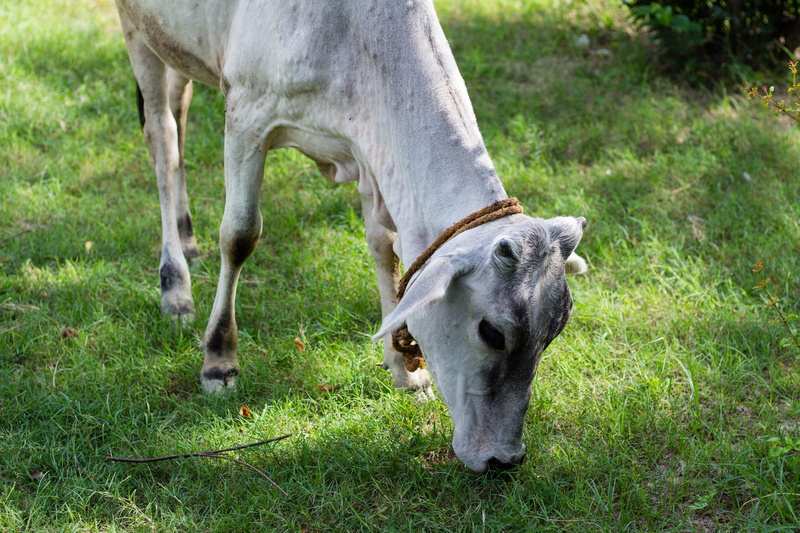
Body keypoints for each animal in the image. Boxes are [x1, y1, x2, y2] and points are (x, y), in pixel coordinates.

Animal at [114, 0, 588, 473]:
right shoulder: (248, 113)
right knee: (163, 138)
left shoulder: (370, 152)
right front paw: (218, 360)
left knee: (179, 112)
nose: (505, 459)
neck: (351, 35)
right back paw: (175, 287)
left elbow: (383, 247)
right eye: (492, 333)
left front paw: (406, 372)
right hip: (136, 31)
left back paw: (187, 237)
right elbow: (239, 235)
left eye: (553, 333)